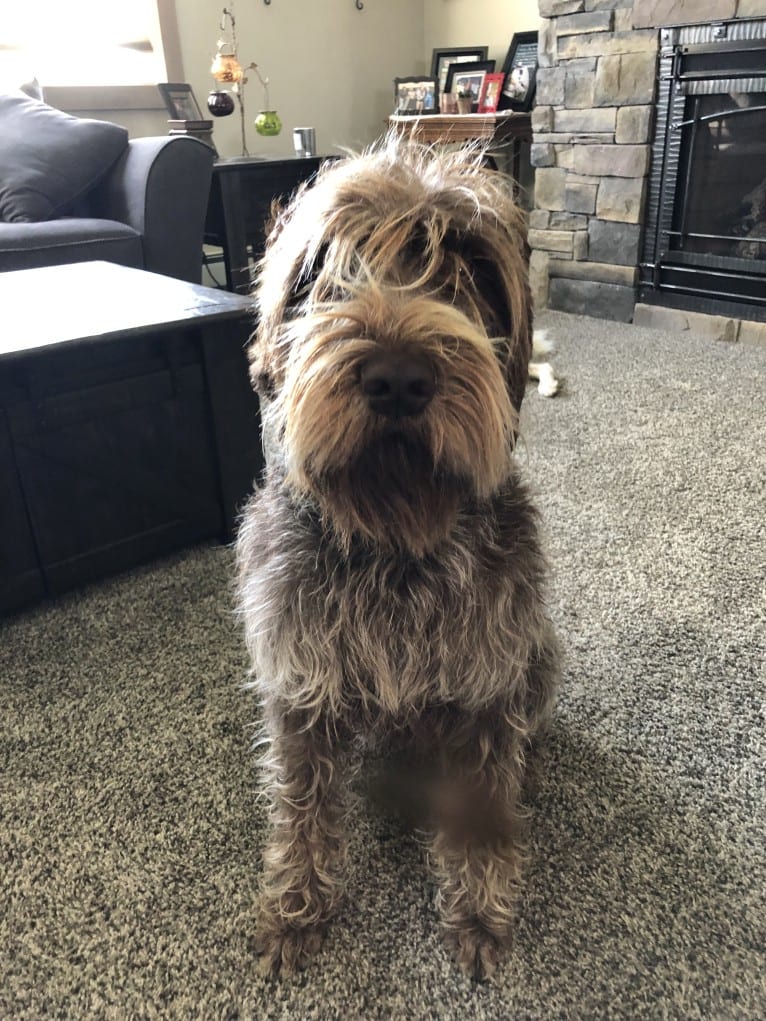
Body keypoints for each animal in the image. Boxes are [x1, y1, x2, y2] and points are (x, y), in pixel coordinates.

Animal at [236, 135, 559, 980]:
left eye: (472, 264)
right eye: (322, 268)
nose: (398, 377)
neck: (397, 544)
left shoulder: (488, 689)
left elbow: (483, 803)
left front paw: (477, 910)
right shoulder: (301, 685)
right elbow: (301, 803)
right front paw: (297, 906)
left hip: (538, 653)